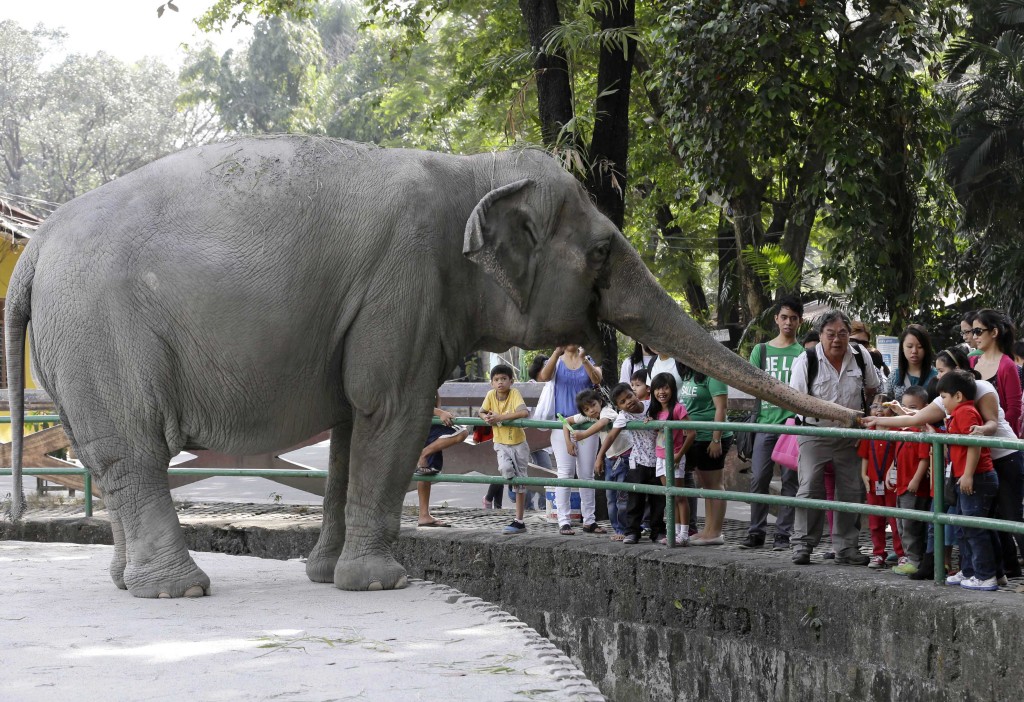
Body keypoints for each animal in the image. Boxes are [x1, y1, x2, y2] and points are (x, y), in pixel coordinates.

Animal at [6, 136, 856, 597]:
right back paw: (178, 590)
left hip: (75, 345)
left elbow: (353, 426)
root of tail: (37, 245)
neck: (471, 171)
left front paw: (328, 576)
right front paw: (382, 583)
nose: (865, 415)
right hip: (103, 330)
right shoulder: (404, 283)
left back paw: (128, 581)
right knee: (135, 451)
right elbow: (392, 412)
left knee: (109, 456)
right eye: (601, 253)